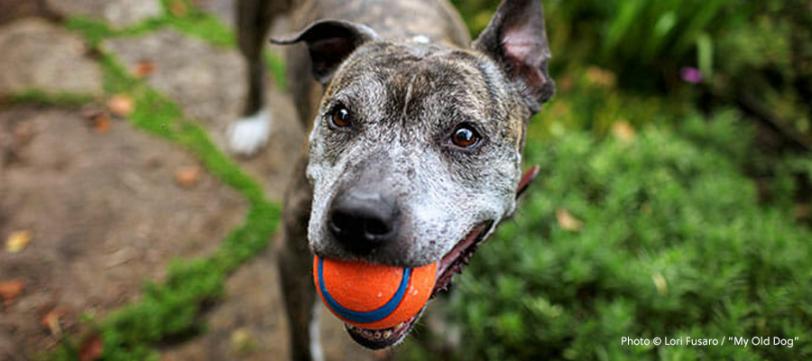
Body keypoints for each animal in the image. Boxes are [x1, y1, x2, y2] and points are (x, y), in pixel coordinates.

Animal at [232, 0, 556, 358]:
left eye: (465, 135)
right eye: (340, 116)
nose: (359, 219)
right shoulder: (292, 257)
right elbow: (303, 339)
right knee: (251, 59)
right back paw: (251, 119)